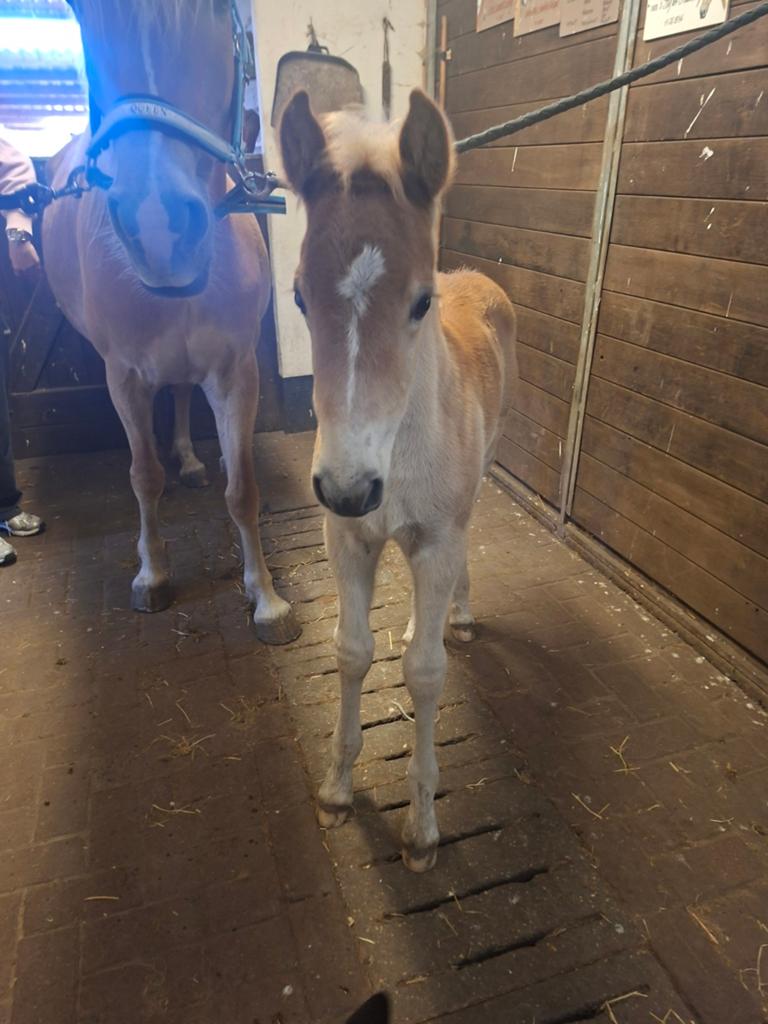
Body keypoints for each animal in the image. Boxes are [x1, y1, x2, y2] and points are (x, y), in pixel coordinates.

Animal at [42, 0, 300, 645]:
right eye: (85, 18)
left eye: (217, 13)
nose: (157, 227)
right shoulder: (124, 378)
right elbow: (143, 477)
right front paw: (152, 574)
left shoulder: (235, 373)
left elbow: (242, 489)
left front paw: (266, 599)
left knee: (183, 394)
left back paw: (190, 459)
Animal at [279, 89, 518, 871]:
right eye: (298, 296)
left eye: (418, 302)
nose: (350, 487)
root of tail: (473, 278)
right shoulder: (348, 536)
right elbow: (353, 651)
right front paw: (336, 790)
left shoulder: (435, 537)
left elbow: (425, 672)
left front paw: (422, 829)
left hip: (479, 478)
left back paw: (457, 614)